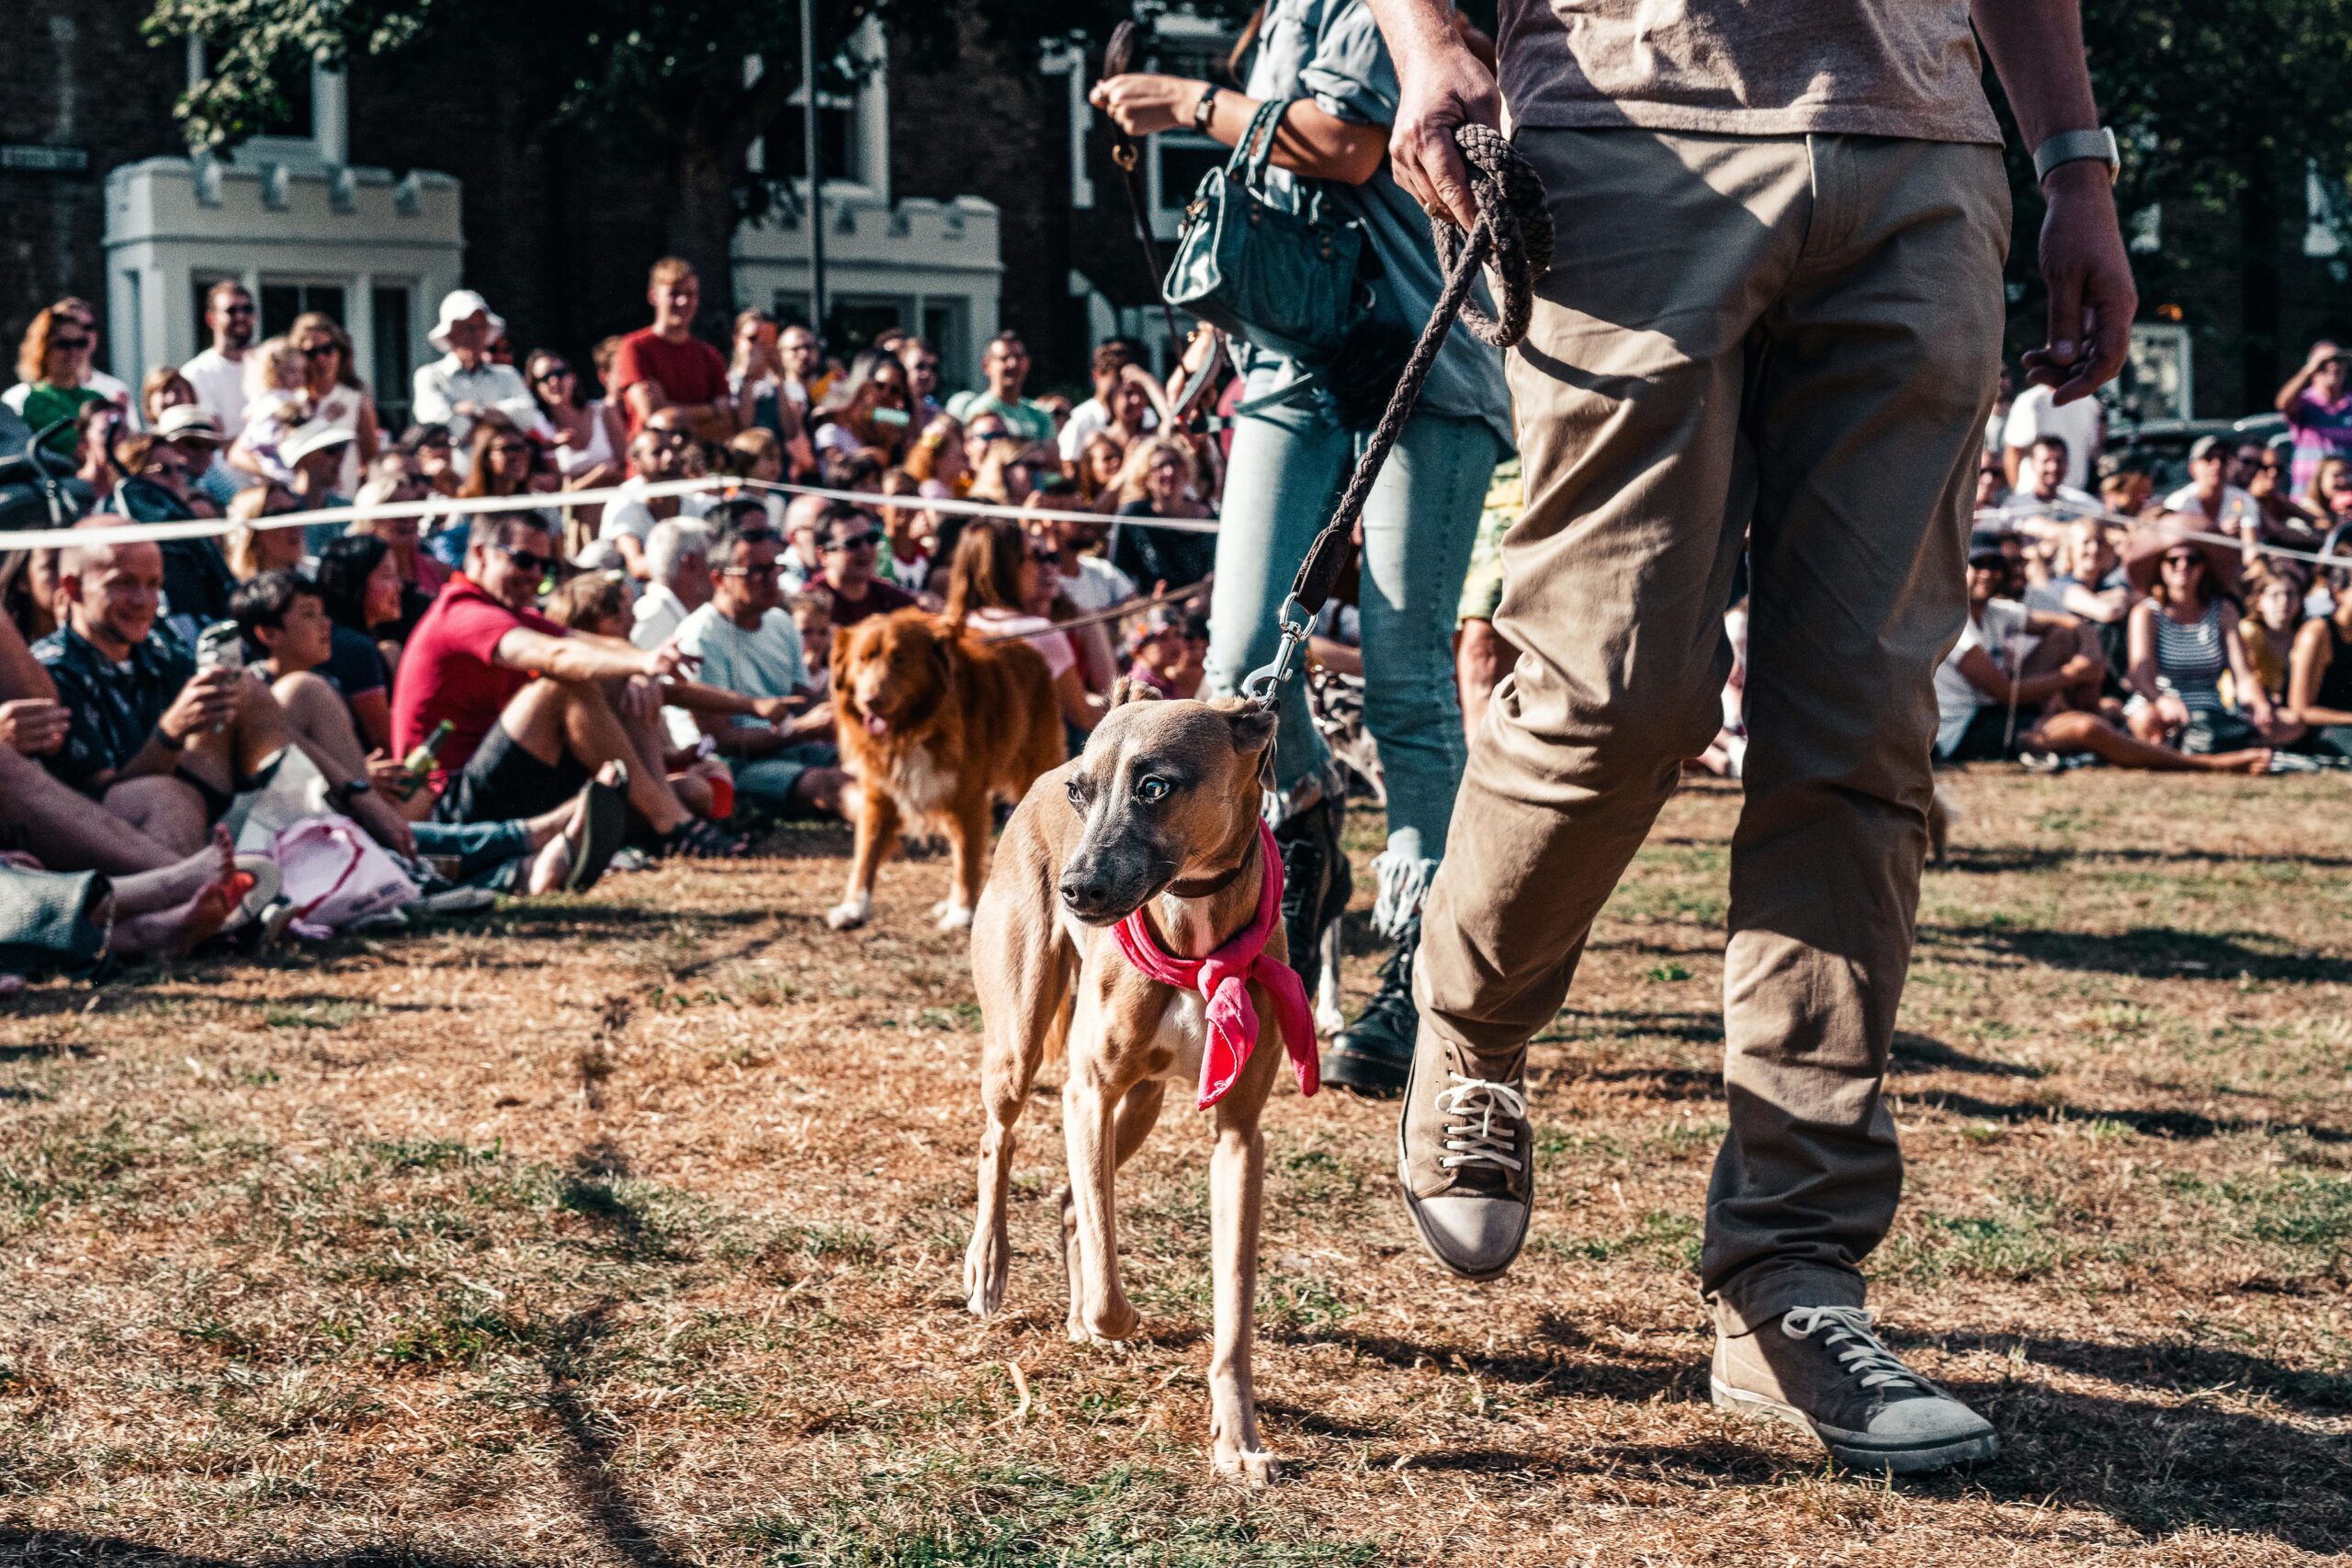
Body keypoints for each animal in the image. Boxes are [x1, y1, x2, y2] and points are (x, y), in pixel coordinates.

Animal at [828, 611, 1068, 931]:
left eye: (899, 659)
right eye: (861, 659)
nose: (870, 701)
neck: (912, 729)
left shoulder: (967, 798)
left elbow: (966, 857)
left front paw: (962, 911)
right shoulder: (879, 795)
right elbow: (866, 853)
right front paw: (853, 907)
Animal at [968, 691, 1307, 1495]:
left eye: (1156, 786)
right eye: (1080, 792)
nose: (1077, 889)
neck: (1195, 944)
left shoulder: (1239, 1135)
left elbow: (1234, 1306)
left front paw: (1238, 1438)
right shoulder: (1087, 1093)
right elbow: (1108, 1283)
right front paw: (1105, 1319)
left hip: (1144, 1103)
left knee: (1069, 1201)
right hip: (1020, 1041)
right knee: (1000, 1141)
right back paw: (989, 1266)